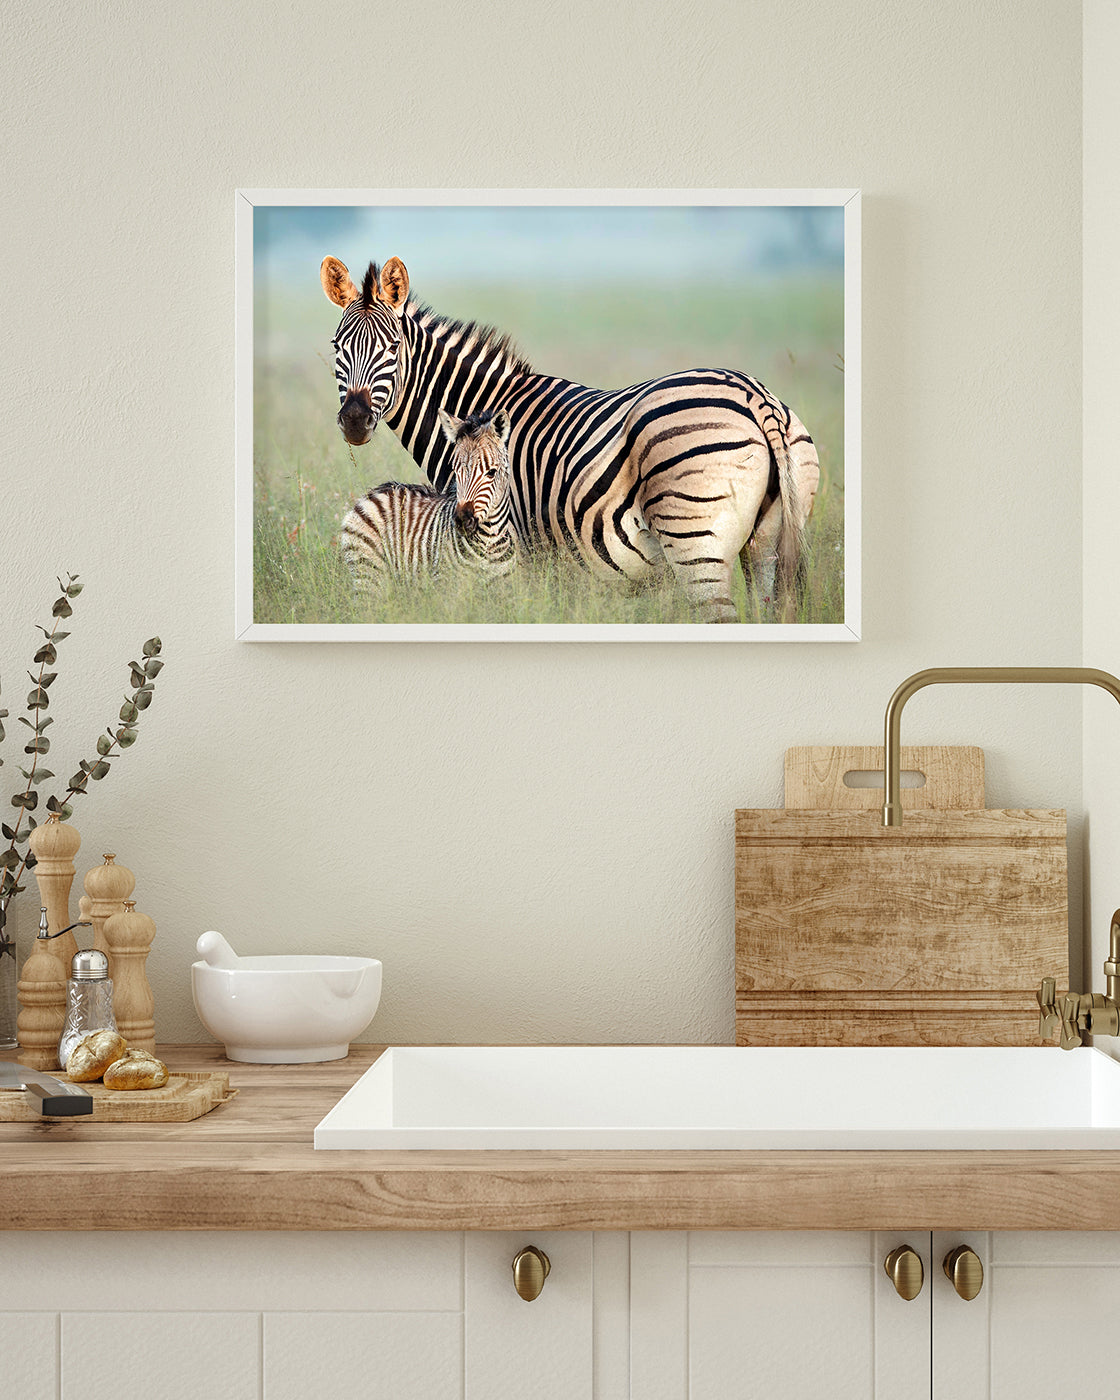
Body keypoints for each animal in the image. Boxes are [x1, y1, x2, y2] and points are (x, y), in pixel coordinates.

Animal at [340, 407, 518, 589]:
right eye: (455, 470)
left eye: (492, 472)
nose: (461, 520)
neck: (490, 540)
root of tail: (374, 492)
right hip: (367, 573)